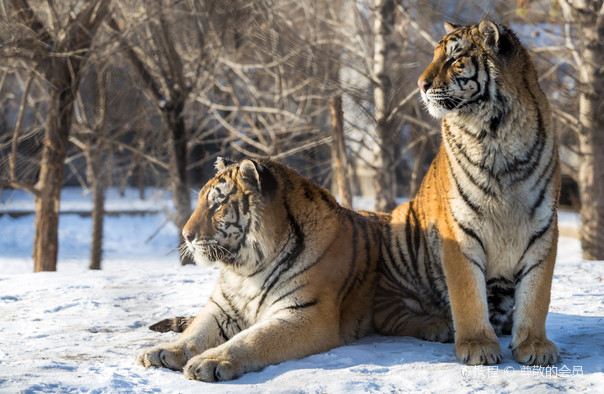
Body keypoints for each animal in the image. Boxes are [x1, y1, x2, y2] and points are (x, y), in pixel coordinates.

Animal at [137, 157, 390, 382]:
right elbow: (195, 333)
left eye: (217, 204)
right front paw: (164, 351)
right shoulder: (221, 310)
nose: (186, 235)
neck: (246, 271)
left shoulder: (306, 314)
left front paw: (209, 361)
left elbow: (252, 338)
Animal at [372, 20, 560, 366]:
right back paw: (438, 325)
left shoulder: (543, 227)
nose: (420, 84)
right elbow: (467, 293)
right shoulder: (458, 228)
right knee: (388, 312)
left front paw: (535, 345)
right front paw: (477, 345)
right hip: (401, 225)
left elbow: (536, 294)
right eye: (435, 56)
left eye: (453, 59)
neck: (496, 134)